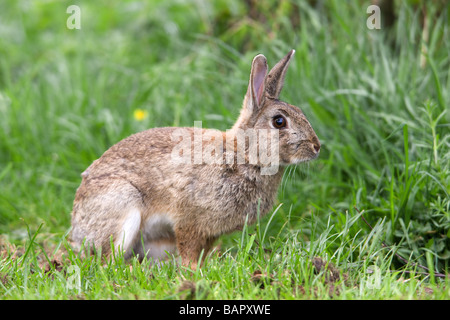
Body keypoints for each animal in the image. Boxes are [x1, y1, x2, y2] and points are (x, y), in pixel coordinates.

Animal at [70, 50, 320, 268]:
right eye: (279, 121)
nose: (316, 147)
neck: (244, 155)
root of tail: (76, 228)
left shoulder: (211, 231)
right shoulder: (189, 218)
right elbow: (189, 246)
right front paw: (193, 270)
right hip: (123, 206)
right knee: (106, 262)